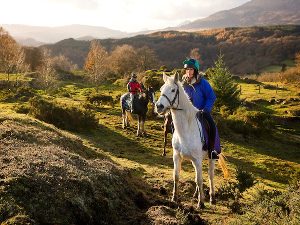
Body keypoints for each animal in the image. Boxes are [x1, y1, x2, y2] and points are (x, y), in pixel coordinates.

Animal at [155, 73, 227, 208]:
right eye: (161, 89)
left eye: (173, 90)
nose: (159, 107)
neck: (186, 130)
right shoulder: (177, 156)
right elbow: (176, 176)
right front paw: (174, 198)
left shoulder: (198, 159)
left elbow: (200, 179)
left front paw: (201, 203)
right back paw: (195, 194)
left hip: (211, 157)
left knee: (210, 176)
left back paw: (212, 198)